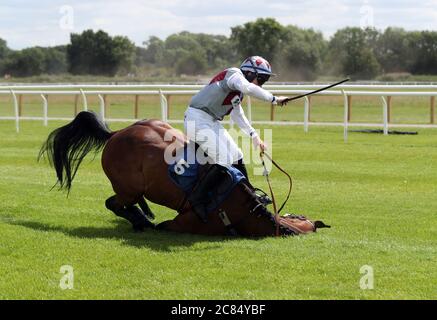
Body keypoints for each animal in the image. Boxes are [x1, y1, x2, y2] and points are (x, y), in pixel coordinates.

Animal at [39, 111, 328, 236]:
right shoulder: (183, 223)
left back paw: (143, 215)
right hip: (127, 187)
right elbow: (167, 225)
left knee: (124, 203)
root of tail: (115, 133)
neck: (239, 208)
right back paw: (141, 220)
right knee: (114, 203)